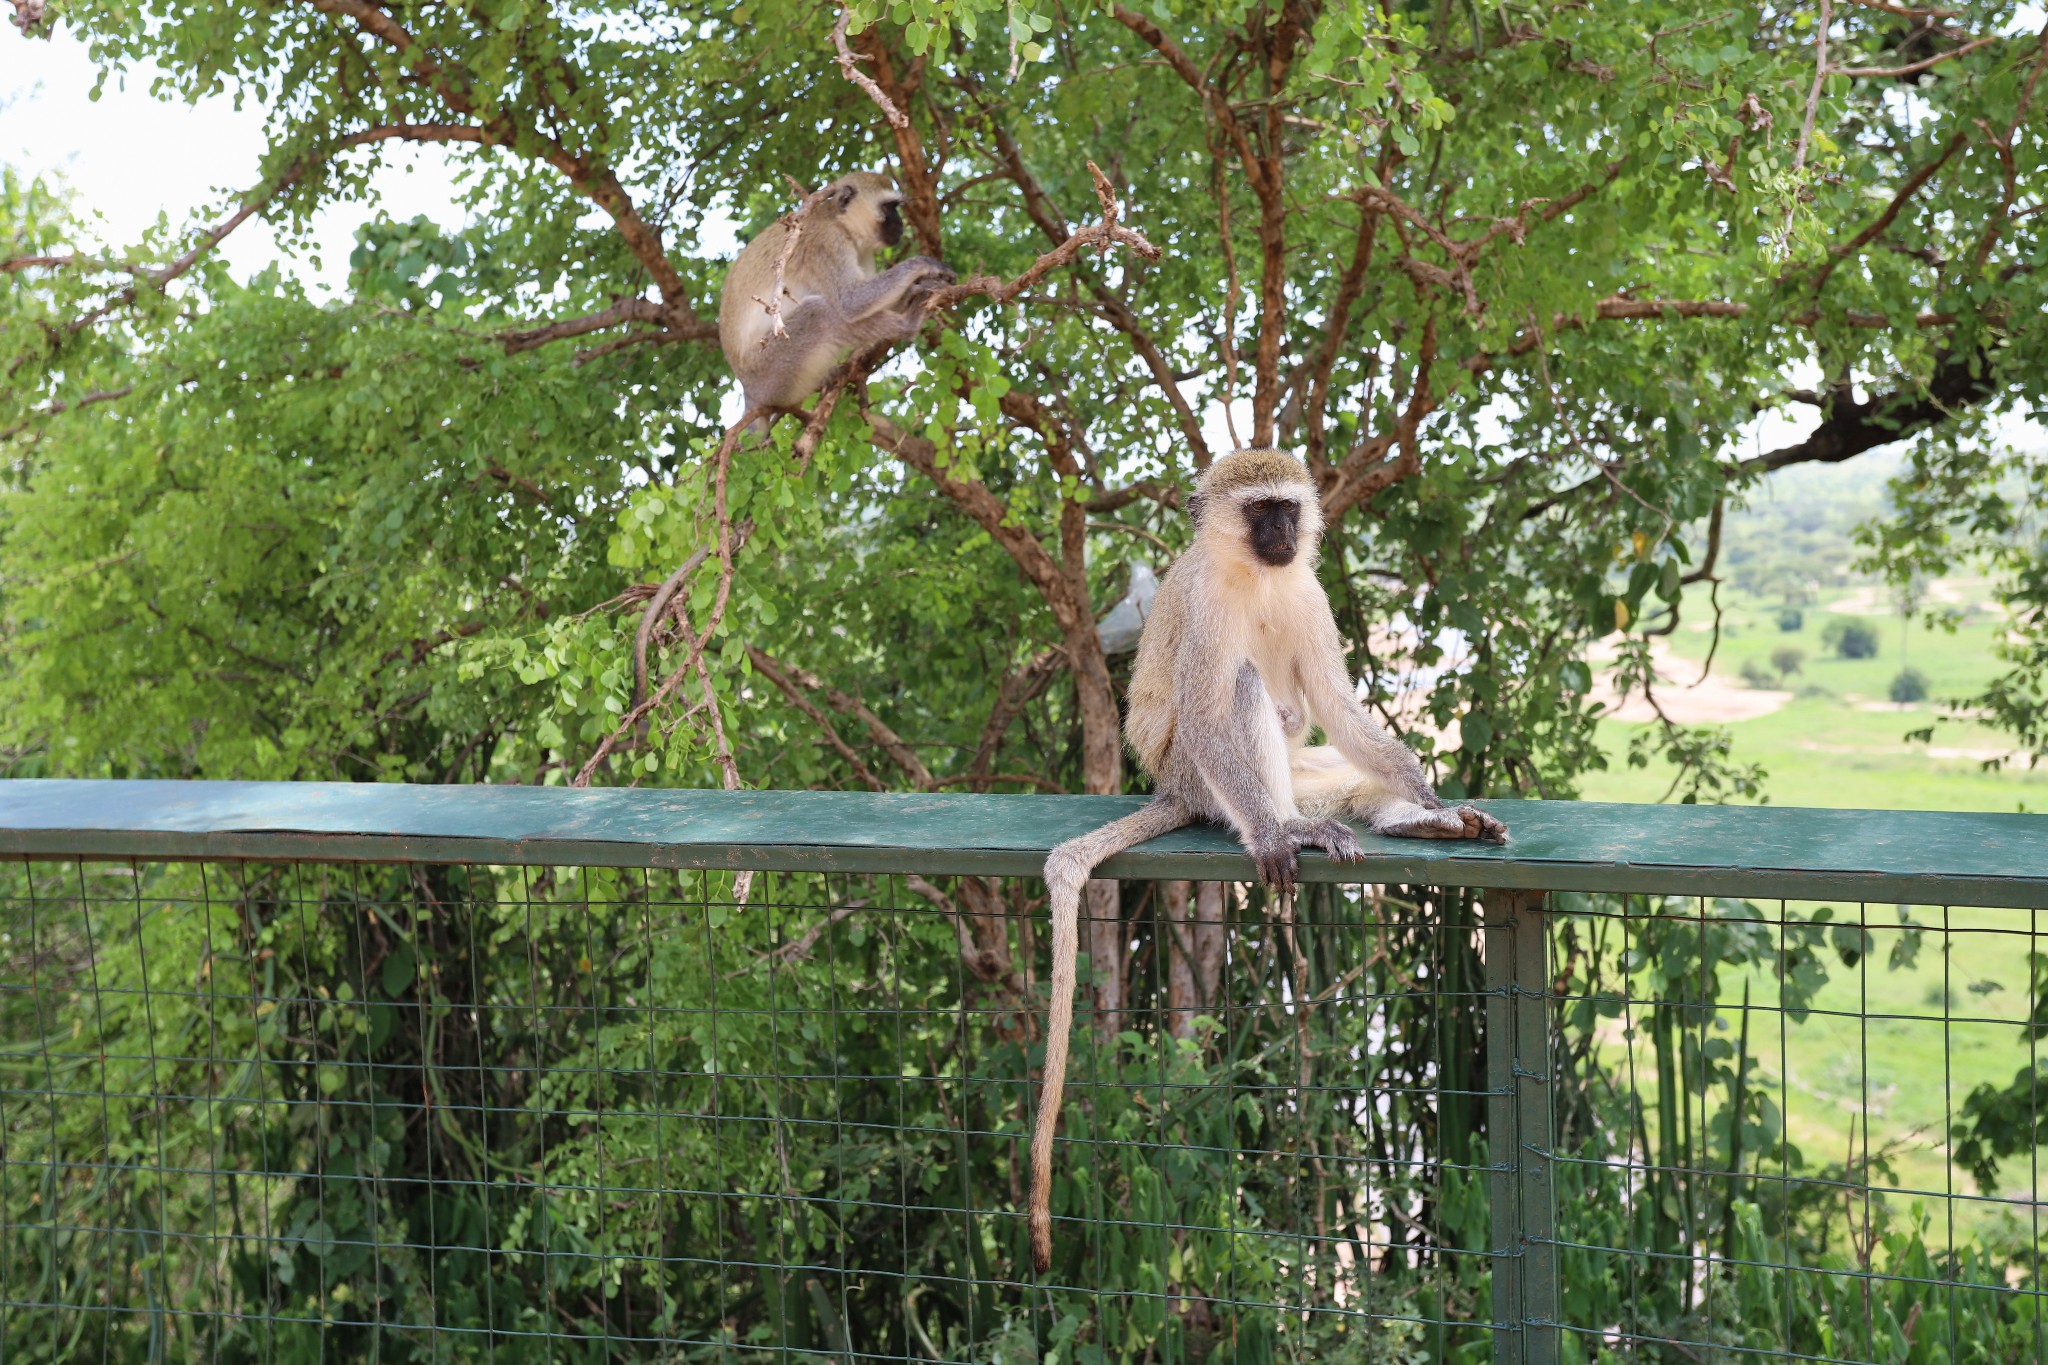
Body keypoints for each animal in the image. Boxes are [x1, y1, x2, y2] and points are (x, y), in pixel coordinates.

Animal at [716, 168, 954, 411]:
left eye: (896, 207)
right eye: (889, 207)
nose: (900, 223)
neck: (840, 222)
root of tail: (749, 389)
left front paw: (922, 286)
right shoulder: (826, 242)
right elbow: (851, 301)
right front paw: (924, 264)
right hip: (769, 370)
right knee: (821, 314)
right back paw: (908, 324)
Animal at [1032, 448, 1515, 1268]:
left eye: (1288, 508)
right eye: (1259, 511)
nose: (1285, 535)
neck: (1254, 574)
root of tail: (1169, 787)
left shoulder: (1308, 593)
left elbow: (1340, 705)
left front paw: (1433, 797)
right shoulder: (1202, 607)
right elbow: (1208, 709)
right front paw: (1270, 837)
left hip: (1296, 768)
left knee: (1328, 754)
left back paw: (1418, 822)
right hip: (1201, 777)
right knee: (1246, 691)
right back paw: (1286, 827)